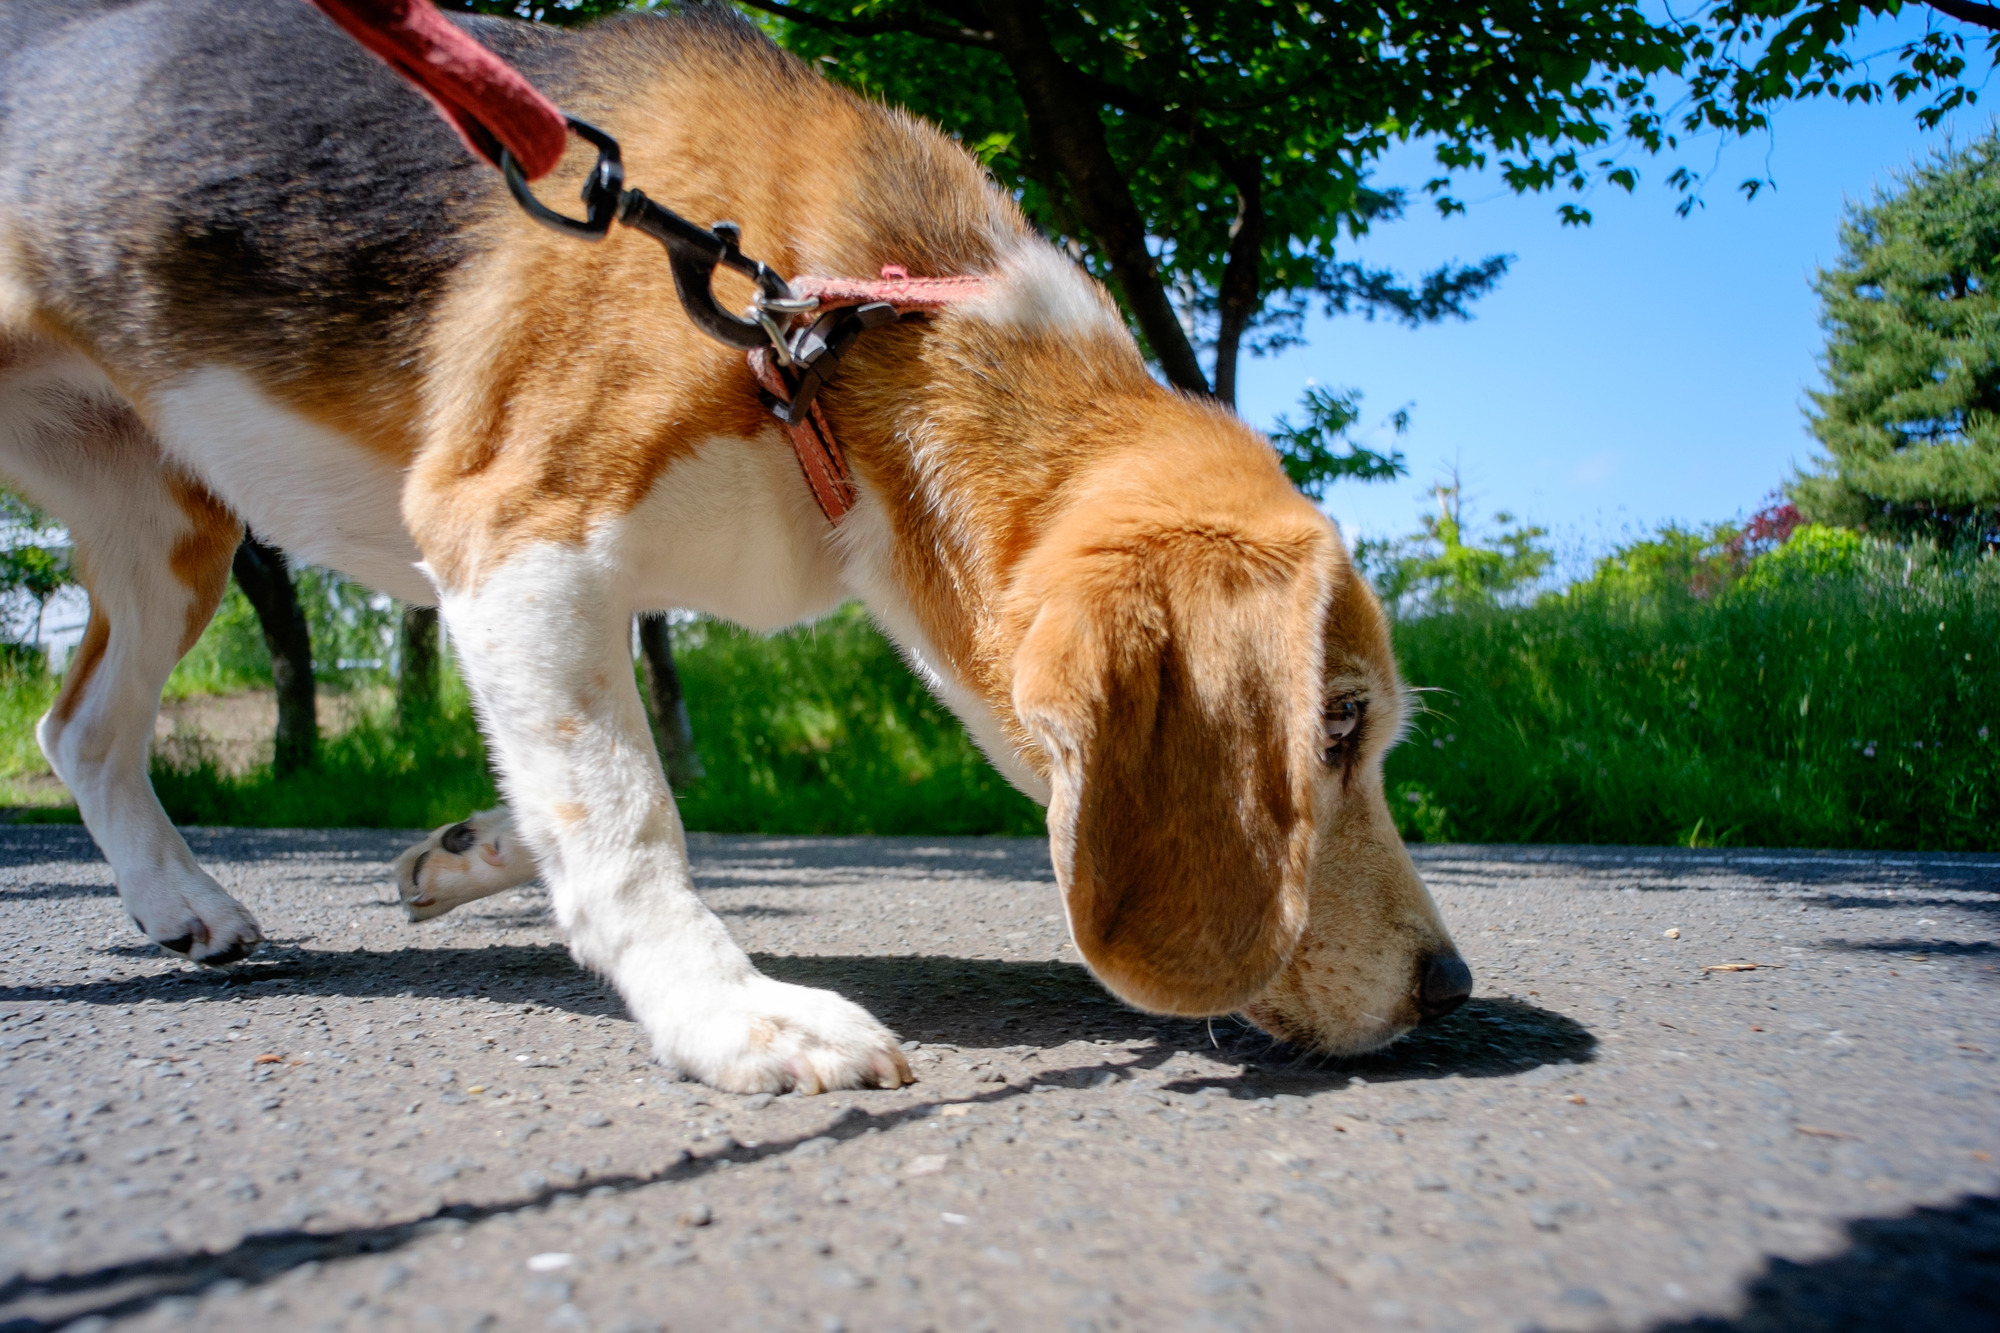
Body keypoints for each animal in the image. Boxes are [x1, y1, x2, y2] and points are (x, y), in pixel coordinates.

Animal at [0, 0, 1472, 1088]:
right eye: (1335, 724)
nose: (1451, 986)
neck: (824, 327)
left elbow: (597, 783)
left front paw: (478, 848)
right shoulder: (510, 537)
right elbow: (629, 818)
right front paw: (729, 1014)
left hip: (172, 532)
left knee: (79, 729)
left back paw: (185, 905)